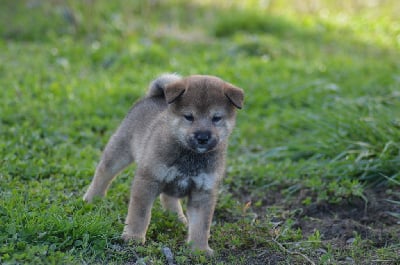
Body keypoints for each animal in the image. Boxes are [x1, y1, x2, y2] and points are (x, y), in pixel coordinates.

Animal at [83, 72, 242, 254]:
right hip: (119, 151)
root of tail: (154, 96)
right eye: (189, 117)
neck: (190, 156)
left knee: (168, 198)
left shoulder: (203, 192)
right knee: (103, 172)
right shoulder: (148, 180)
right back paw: (93, 198)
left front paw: (199, 249)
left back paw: (177, 219)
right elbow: (140, 214)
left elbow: (201, 225)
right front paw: (133, 237)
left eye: (216, 118)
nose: (202, 137)